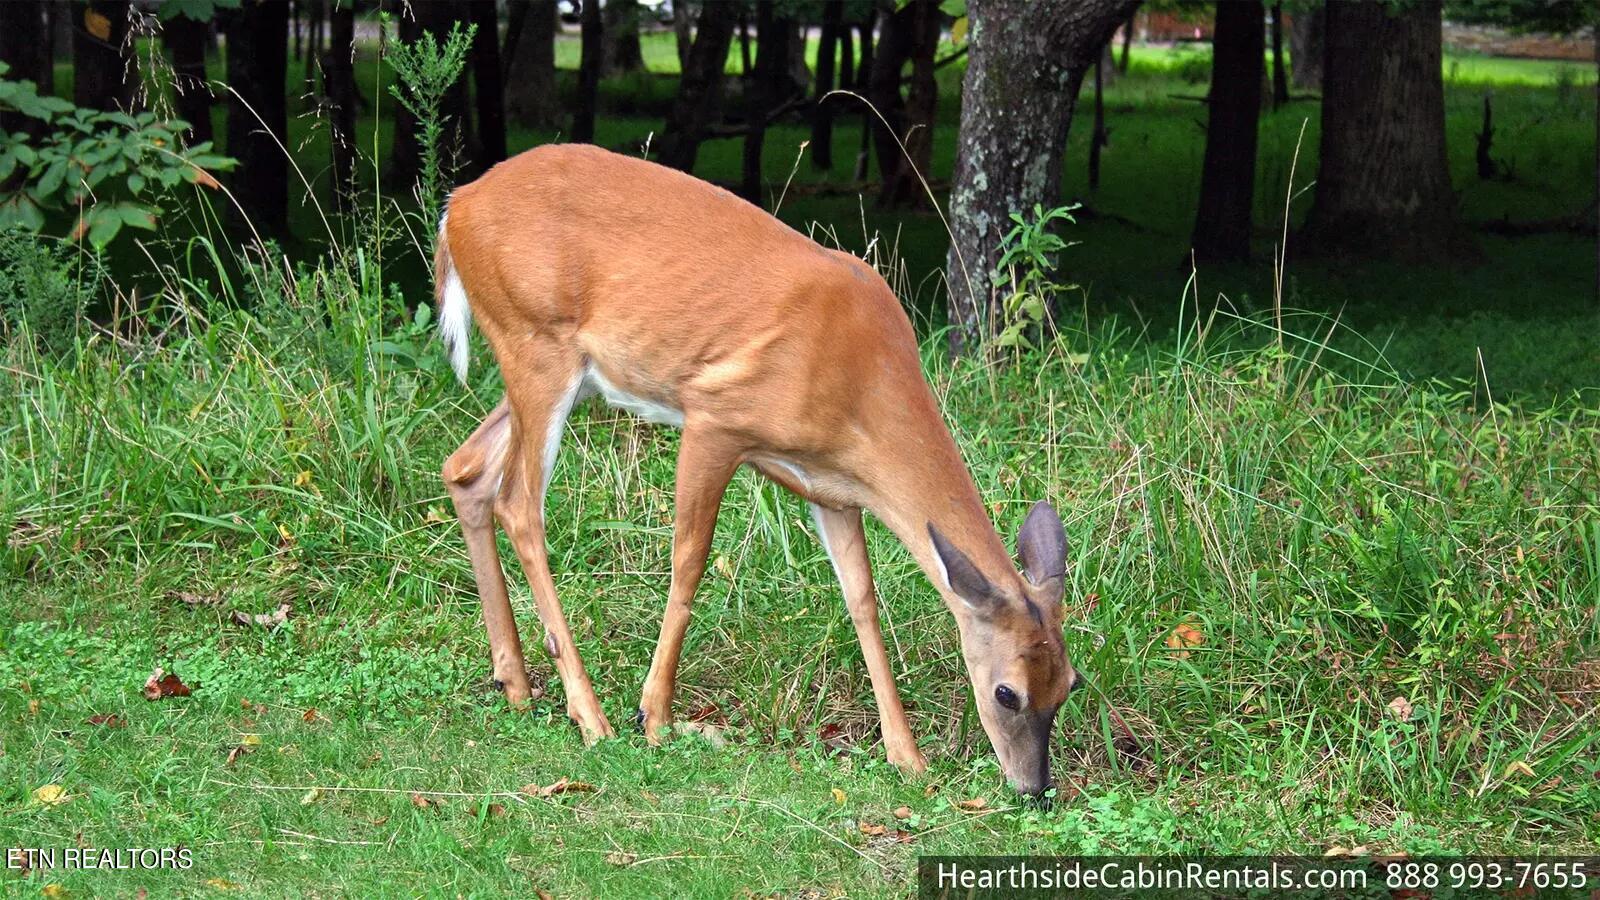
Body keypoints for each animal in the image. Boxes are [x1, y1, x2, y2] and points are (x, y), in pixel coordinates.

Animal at [438, 141, 1081, 791]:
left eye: (1069, 685)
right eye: (1007, 693)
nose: (1035, 788)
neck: (861, 384)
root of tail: (456, 206)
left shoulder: (833, 490)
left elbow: (862, 599)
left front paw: (906, 754)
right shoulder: (714, 417)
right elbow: (689, 562)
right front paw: (655, 716)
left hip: (549, 369)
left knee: (466, 468)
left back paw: (515, 683)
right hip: (537, 342)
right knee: (518, 503)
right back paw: (590, 715)